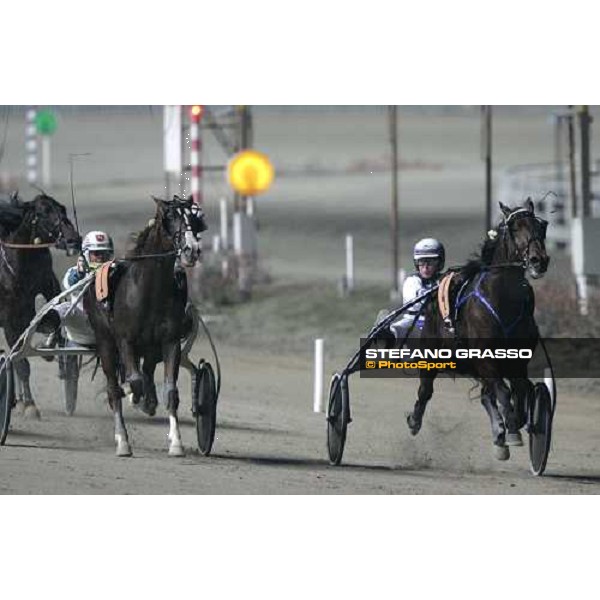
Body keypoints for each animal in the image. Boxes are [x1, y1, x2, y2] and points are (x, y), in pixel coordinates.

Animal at [0, 192, 81, 418]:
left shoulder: (45, 286)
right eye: (44, 213)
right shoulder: (9, 316)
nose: (73, 239)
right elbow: (21, 361)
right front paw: (29, 405)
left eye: (62, 210)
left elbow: (53, 318)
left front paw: (49, 346)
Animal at [84, 195, 206, 458]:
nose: (192, 250)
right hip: (106, 343)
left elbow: (170, 391)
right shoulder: (125, 341)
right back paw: (122, 438)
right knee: (114, 389)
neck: (149, 291)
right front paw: (135, 399)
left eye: (193, 218)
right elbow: (134, 382)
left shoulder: (170, 343)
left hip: (150, 349)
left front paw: (176, 442)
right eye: (170, 217)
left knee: (147, 372)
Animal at [406, 200, 552, 460]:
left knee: (488, 395)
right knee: (425, 390)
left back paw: (500, 435)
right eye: (514, 227)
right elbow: (503, 392)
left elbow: (520, 390)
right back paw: (415, 421)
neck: (502, 300)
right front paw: (512, 430)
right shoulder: (485, 358)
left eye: (541, 225)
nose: (538, 260)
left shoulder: (517, 361)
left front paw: (514, 425)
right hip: (432, 353)